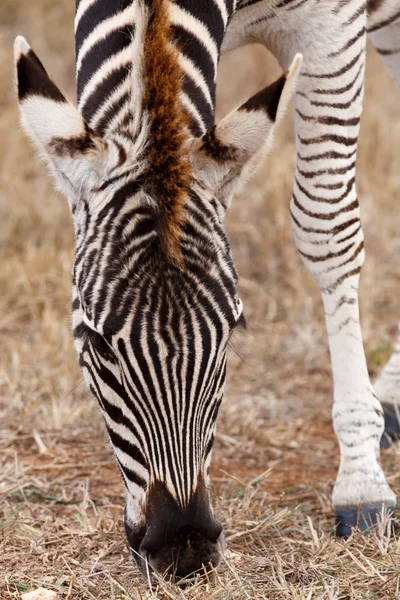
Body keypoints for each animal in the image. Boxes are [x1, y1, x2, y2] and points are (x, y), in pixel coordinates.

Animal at [14, 0, 398, 584]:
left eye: (232, 332)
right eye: (98, 345)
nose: (184, 546)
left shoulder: (332, 27)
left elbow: (326, 226)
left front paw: (361, 484)